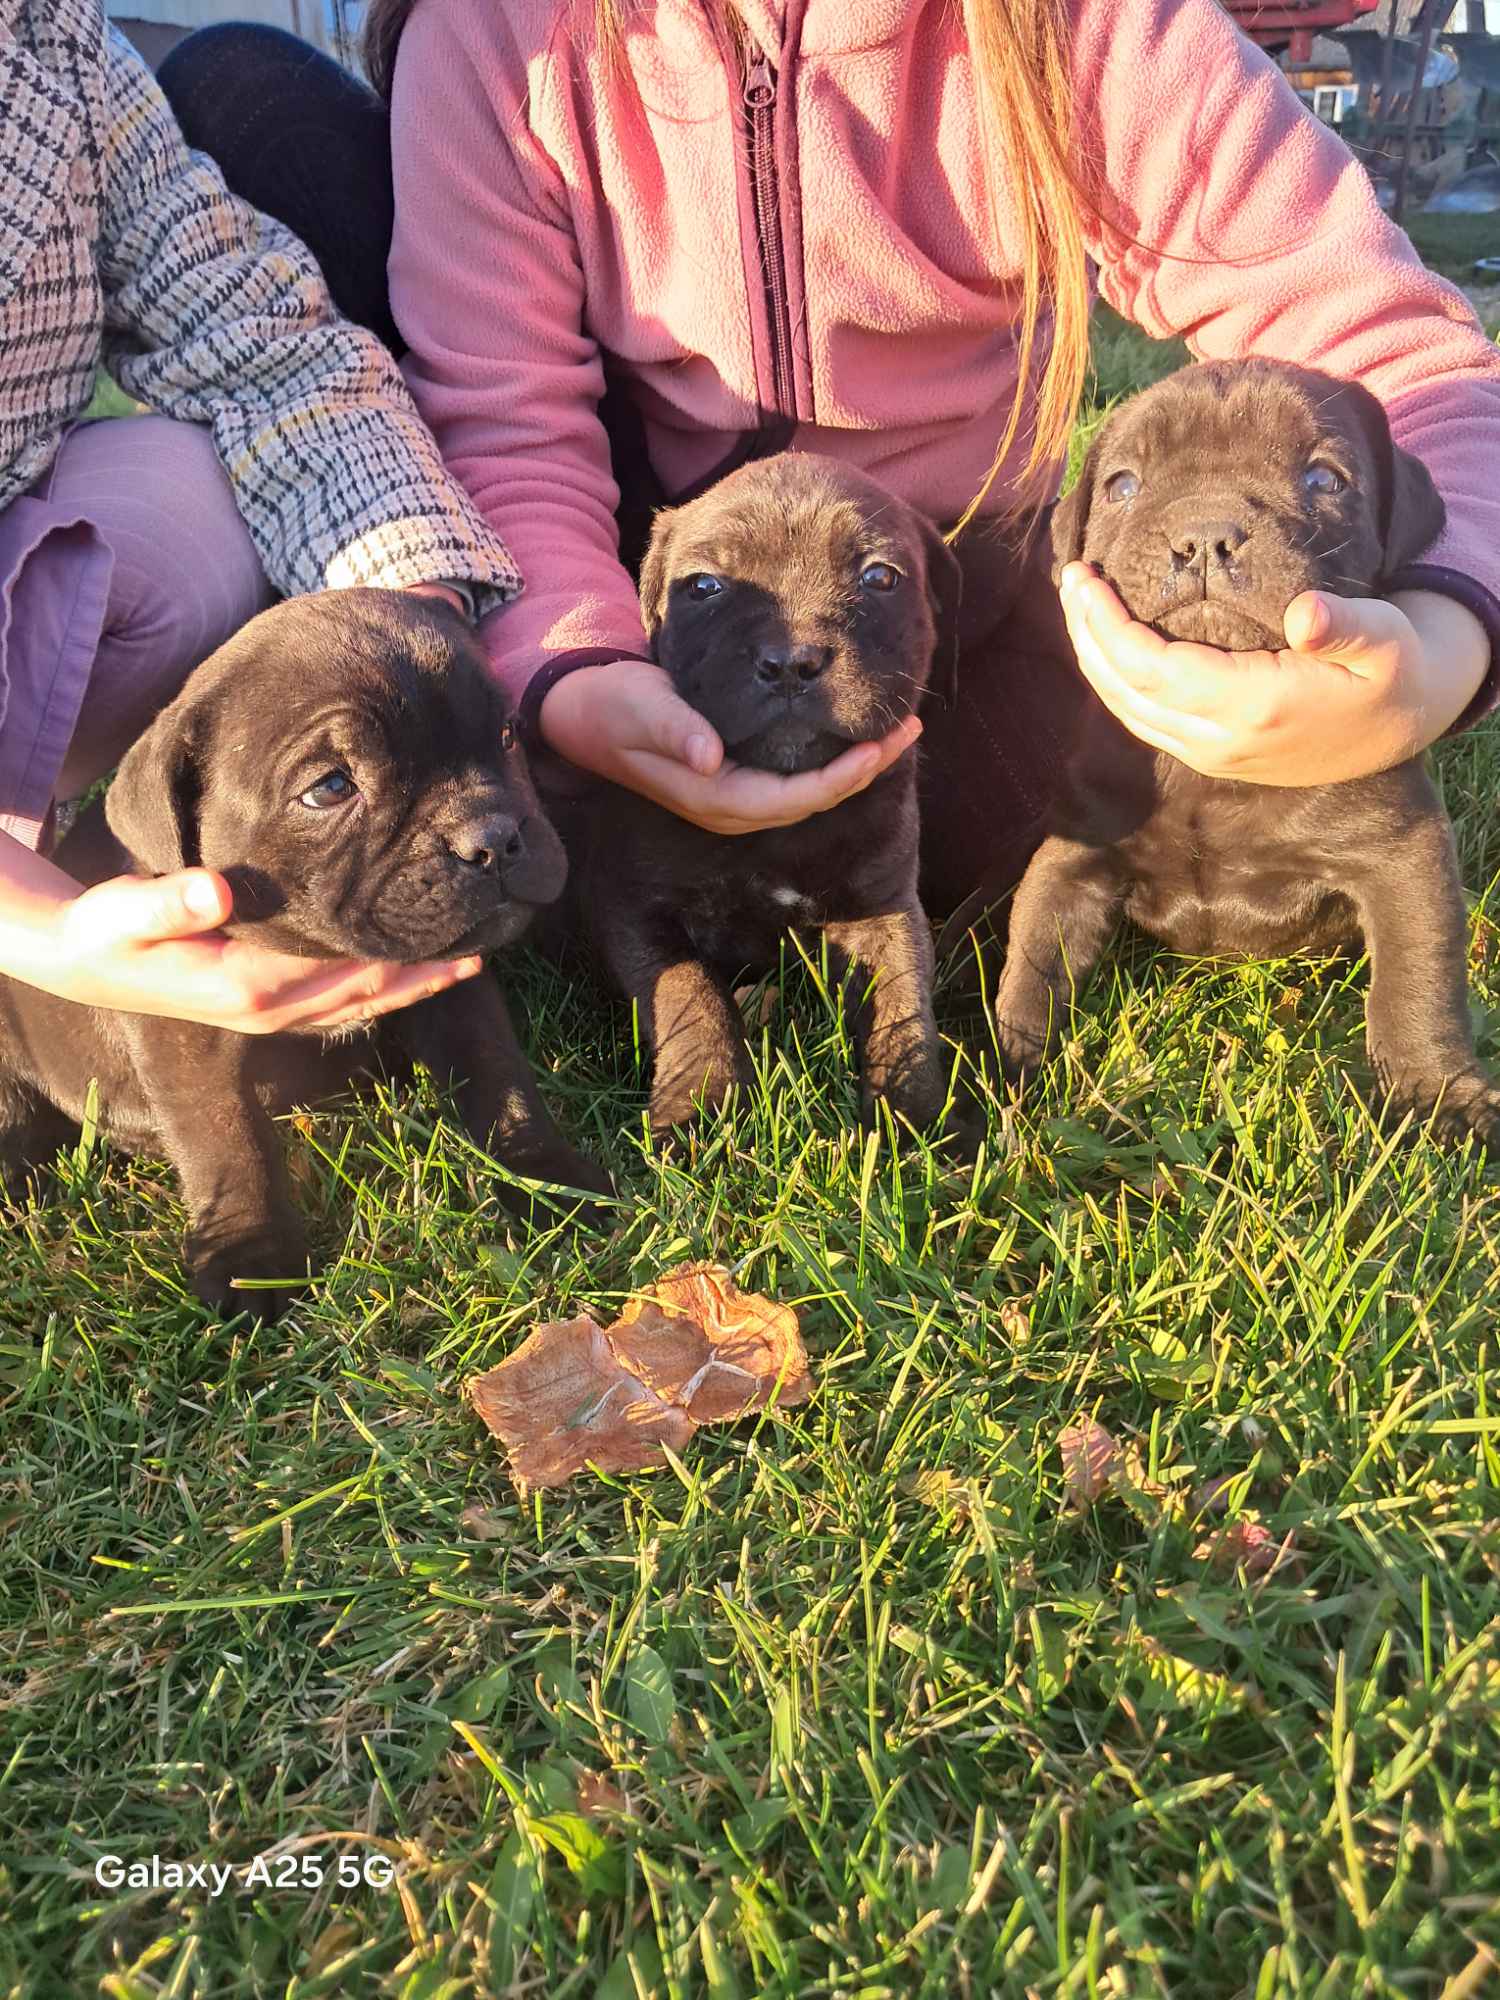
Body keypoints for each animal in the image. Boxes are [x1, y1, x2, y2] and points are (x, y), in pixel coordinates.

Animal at [0, 592, 612, 1312]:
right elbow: (227, 1141)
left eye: (509, 735)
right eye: (330, 788)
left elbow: (499, 1077)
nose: (492, 838)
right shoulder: (185, 1039)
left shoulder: (458, 990)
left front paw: (549, 1180)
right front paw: (250, 1259)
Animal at [576, 456, 964, 1144]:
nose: (790, 661)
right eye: (704, 587)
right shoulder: (633, 907)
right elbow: (689, 995)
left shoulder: (884, 908)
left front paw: (911, 1117)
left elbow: (902, 1002)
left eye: (880, 577)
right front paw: (698, 1105)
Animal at [992, 356, 1496, 1144]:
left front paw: (1440, 1097)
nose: (1204, 534)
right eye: (1122, 485)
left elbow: (1417, 980)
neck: (1207, 779)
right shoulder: (1073, 857)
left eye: (1324, 479)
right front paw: (1002, 1073)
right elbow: (1035, 960)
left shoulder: (1404, 857)